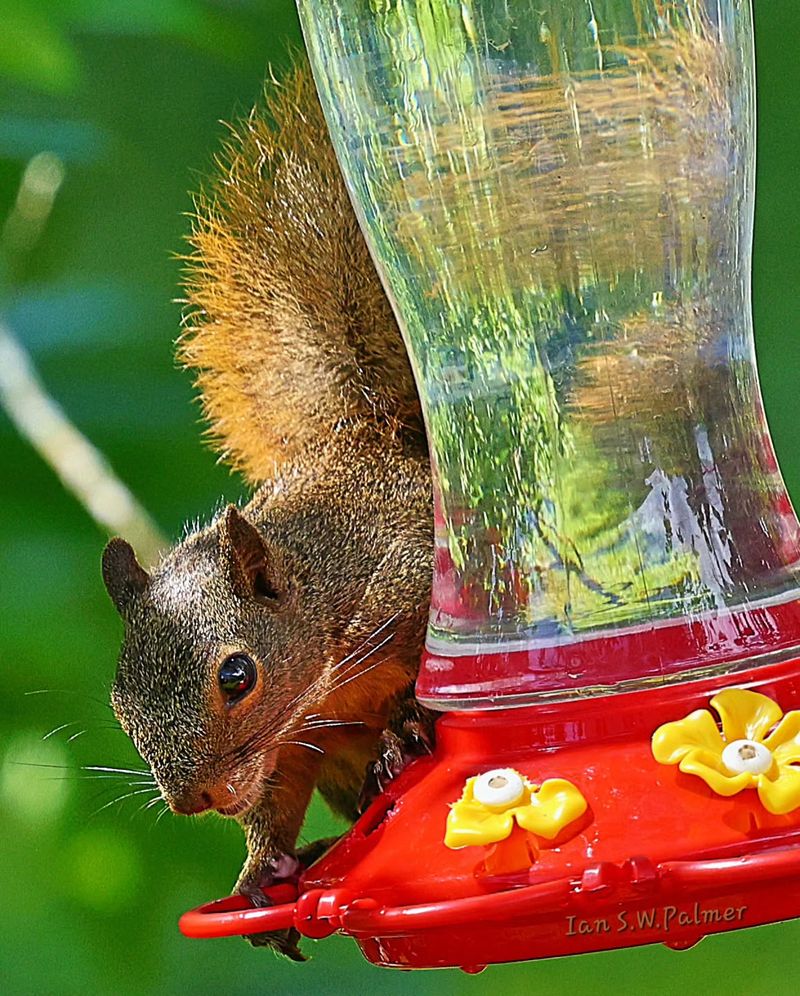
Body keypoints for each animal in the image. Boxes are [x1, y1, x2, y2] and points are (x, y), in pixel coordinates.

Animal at [101, 63, 434, 959]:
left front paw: (407, 723)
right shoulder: (287, 751)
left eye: (237, 676)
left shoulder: (407, 576)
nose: (194, 801)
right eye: (119, 701)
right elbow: (274, 800)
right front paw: (259, 871)